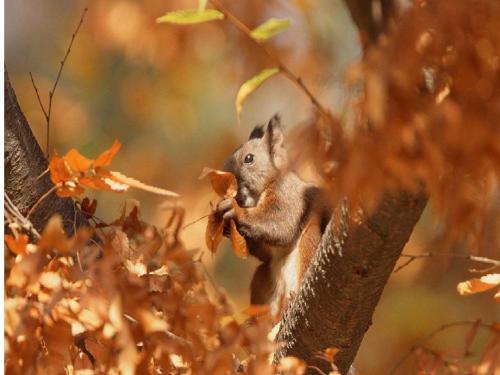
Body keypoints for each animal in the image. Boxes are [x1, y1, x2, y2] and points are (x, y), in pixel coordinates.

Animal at [216, 114, 330, 320]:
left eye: (249, 158)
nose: (225, 180)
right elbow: (263, 250)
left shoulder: (287, 197)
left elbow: (279, 224)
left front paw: (234, 210)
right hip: (262, 278)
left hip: (308, 243)